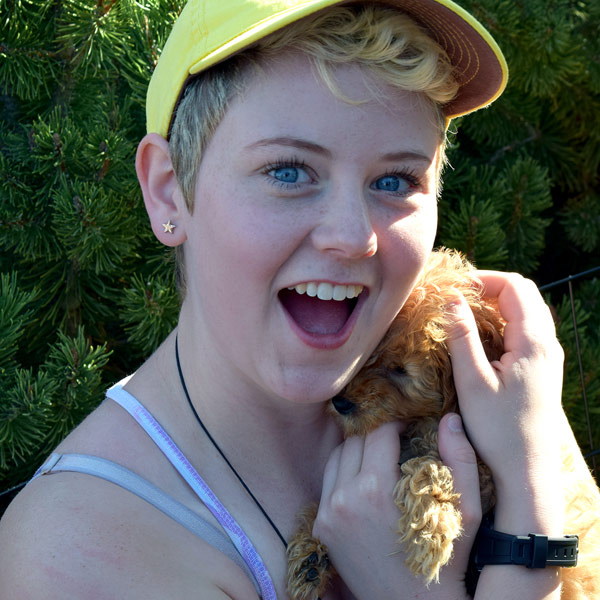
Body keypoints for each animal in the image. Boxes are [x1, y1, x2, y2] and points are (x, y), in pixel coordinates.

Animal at [286, 247, 600, 600]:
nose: (340, 402)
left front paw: (428, 531)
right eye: (364, 356)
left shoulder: (482, 471)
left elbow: (428, 465)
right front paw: (307, 553)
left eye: (400, 369)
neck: (424, 419)